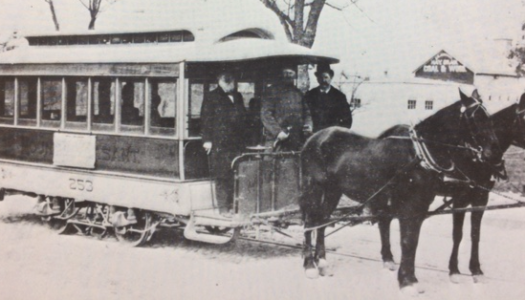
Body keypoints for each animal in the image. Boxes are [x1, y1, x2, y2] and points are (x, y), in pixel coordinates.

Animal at [296, 92, 502, 292]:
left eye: (489, 118)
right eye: (474, 118)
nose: (495, 153)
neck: (418, 155)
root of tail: (314, 138)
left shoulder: (421, 206)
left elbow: (413, 241)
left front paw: (409, 277)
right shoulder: (408, 206)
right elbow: (407, 241)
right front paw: (406, 281)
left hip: (334, 190)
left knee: (322, 219)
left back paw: (322, 262)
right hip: (314, 187)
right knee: (311, 221)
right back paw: (310, 265)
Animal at [374, 95, 524, 284]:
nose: (496, 157)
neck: (474, 157)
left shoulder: (481, 198)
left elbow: (475, 234)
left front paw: (476, 270)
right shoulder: (460, 198)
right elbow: (457, 233)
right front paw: (454, 270)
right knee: (384, 218)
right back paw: (387, 258)